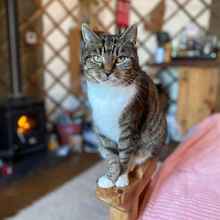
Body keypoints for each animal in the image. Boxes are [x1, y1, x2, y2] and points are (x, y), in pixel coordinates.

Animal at [81, 24, 167, 189]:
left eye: (121, 59)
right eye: (97, 58)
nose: (107, 72)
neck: (108, 94)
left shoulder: (130, 125)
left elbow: (126, 154)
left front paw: (121, 177)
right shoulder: (102, 129)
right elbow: (112, 156)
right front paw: (110, 177)